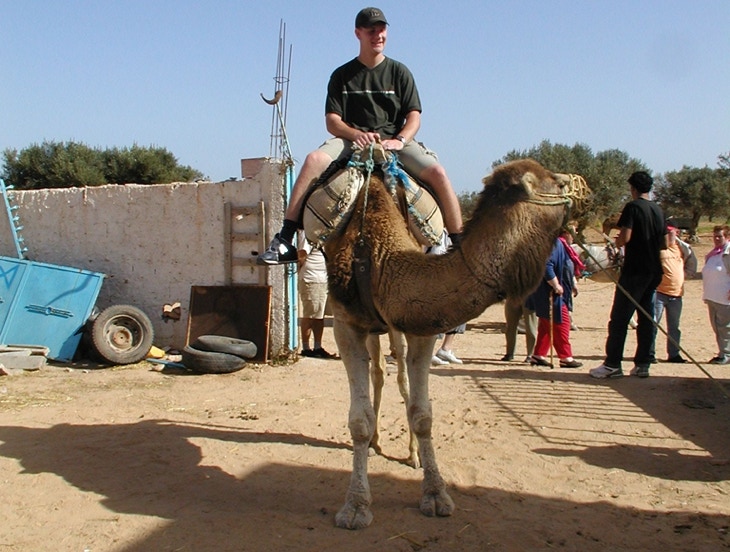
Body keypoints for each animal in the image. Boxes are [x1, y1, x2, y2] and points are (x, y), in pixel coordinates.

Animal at [319, 150, 588, 529]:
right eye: (560, 183)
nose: (584, 187)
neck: (379, 255)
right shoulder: (345, 323)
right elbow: (359, 421)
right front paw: (356, 506)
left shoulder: (419, 325)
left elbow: (422, 413)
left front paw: (435, 494)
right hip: (370, 326)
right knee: (380, 374)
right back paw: (376, 442)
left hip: (393, 326)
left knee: (396, 375)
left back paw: (410, 453)